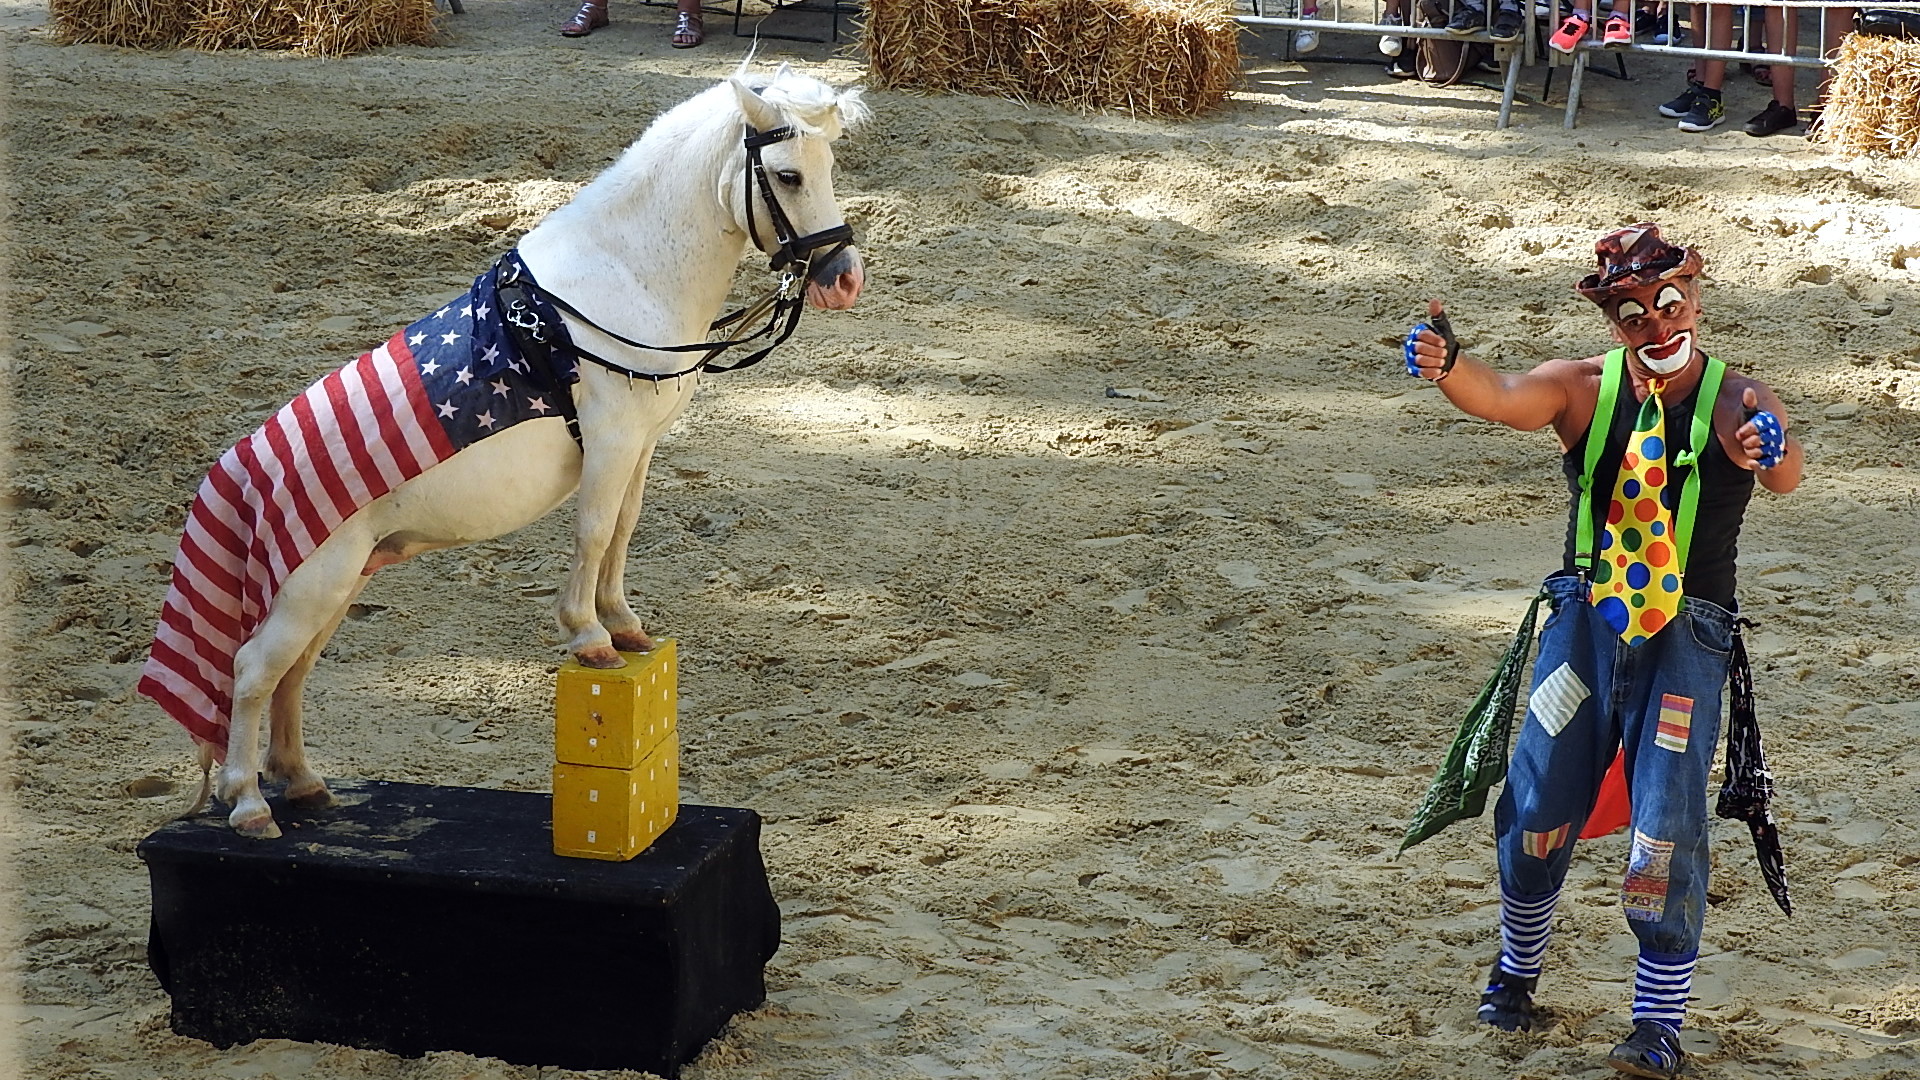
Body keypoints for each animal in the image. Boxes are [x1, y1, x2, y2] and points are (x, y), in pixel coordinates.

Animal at [137, 66, 870, 838]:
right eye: (787, 174)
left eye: (828, 164)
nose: (845, 277)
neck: (622, 276)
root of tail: (245, 473)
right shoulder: (611, 439)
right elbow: (593, 531)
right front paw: (588, 637)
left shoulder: (639, 446)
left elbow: (622, 532)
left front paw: (626, 627)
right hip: (314, 586)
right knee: (252, 672)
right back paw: (248, 804)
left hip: (335, 588)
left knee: (291, 673)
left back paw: (303, 783)